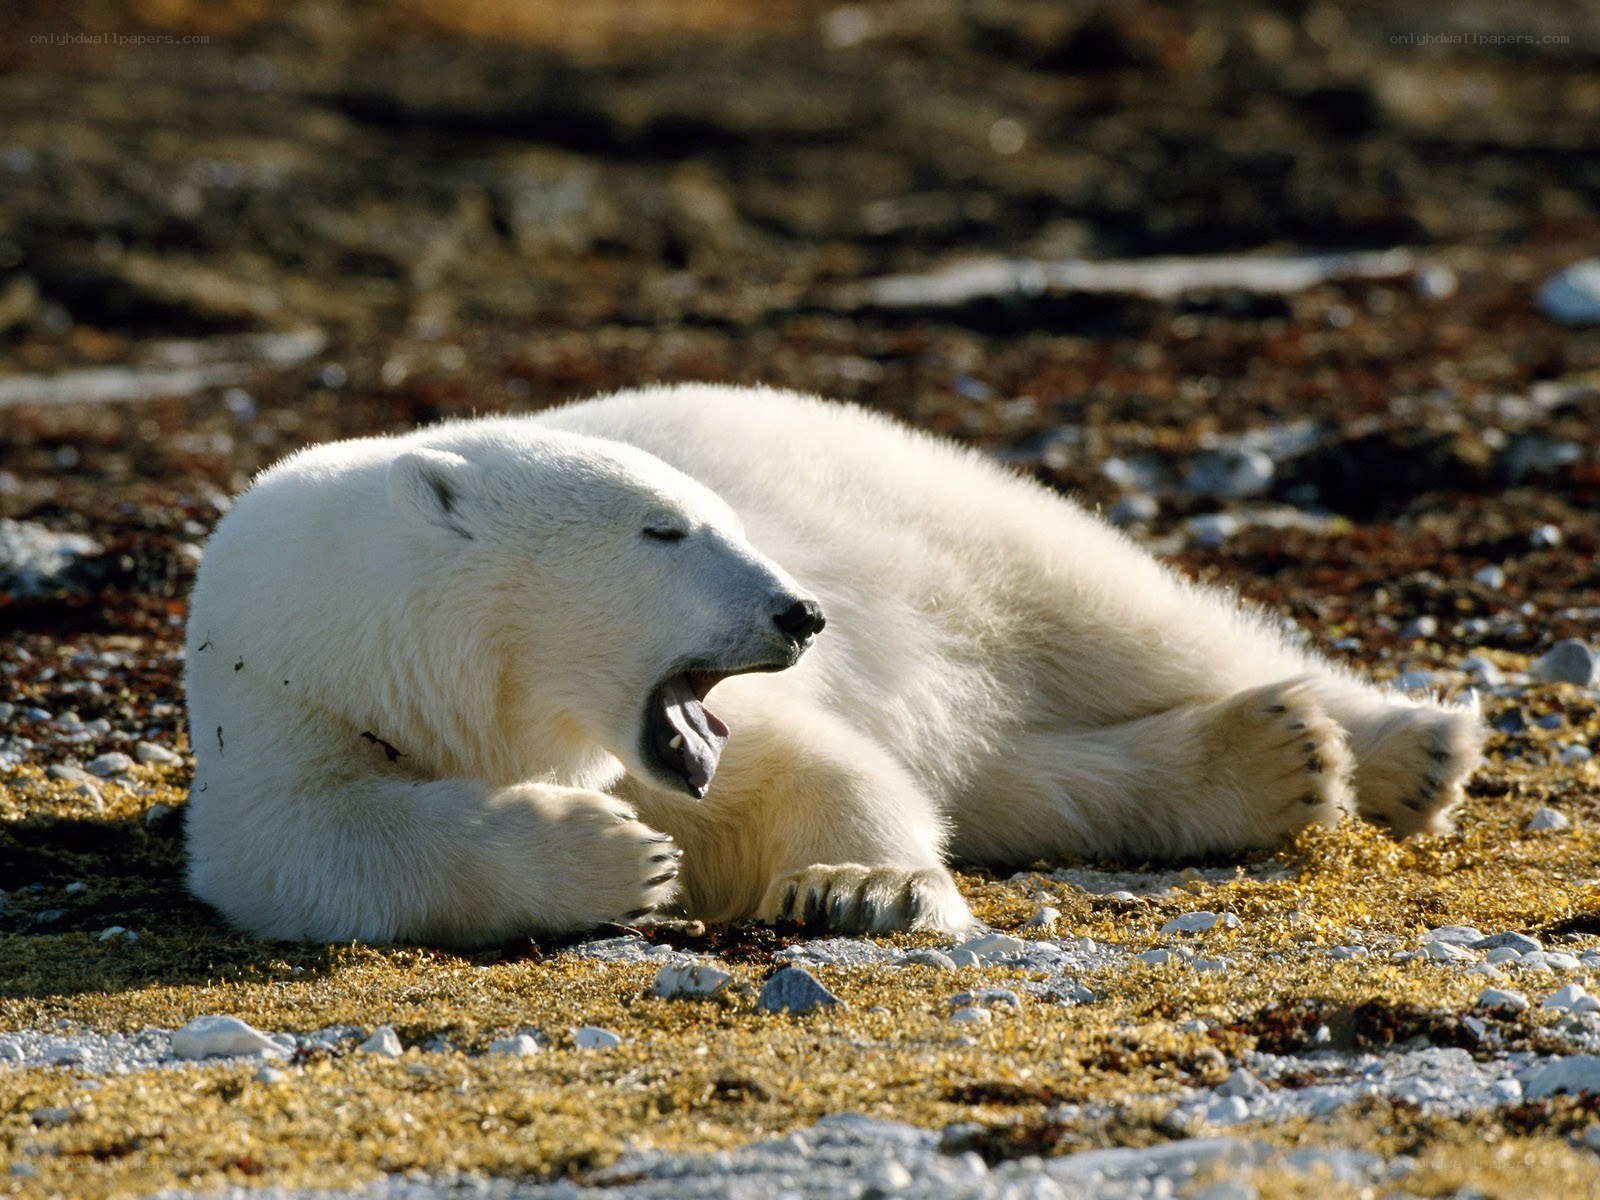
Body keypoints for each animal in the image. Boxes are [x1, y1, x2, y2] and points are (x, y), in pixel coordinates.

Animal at [184, 384, 1484, 946]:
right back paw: (1269, 758)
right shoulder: (285, 716)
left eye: (718, 515)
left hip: (944, 516)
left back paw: (1404, 746)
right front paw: (617, 859)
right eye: (663, 529)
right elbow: (318, 851)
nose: (800, 611)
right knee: (1026, 778)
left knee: (1125, 617)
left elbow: (820, 771)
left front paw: (859, 888)